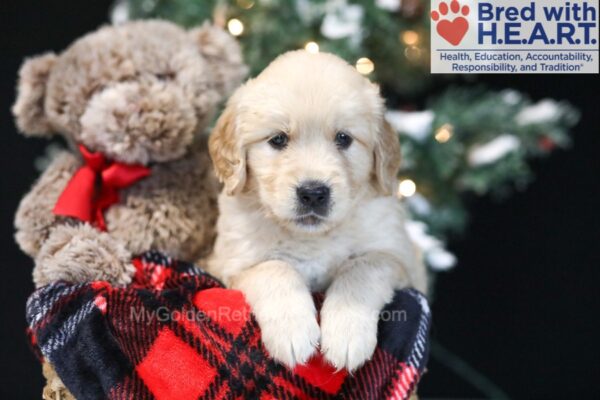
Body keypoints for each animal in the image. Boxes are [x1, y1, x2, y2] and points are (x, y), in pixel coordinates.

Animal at [207, 50, 426, 372]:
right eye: (278, 139)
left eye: (344, 138)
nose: (313, 193)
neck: (313, 237)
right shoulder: (230, 263)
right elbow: (275, 267)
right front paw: (292, 330)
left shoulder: (398, 258)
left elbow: (361, 267)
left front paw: (347, 332)